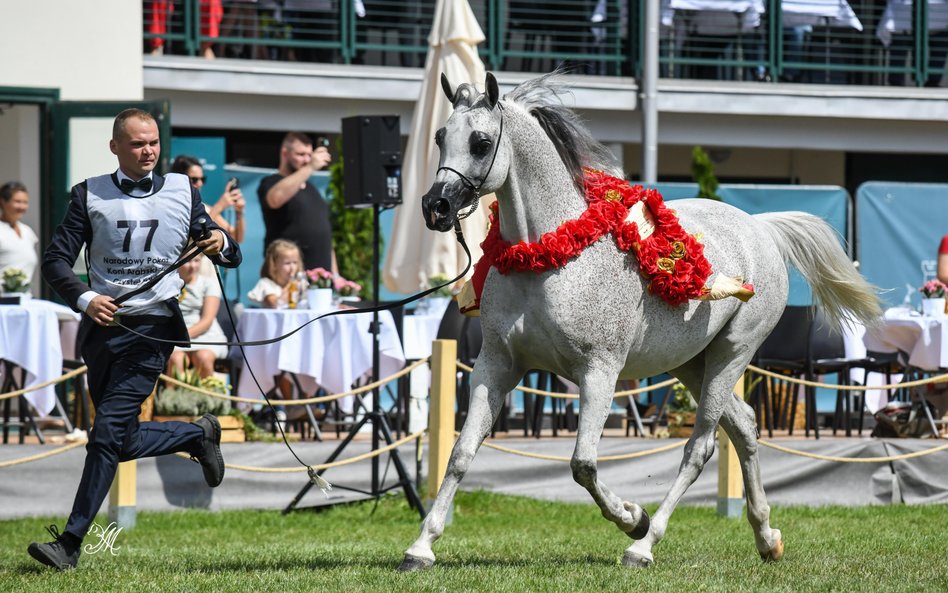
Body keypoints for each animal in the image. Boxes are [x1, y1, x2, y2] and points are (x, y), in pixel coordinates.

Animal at [398, 73, 880, 568]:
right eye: (440, 137)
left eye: (480, 142)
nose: (435, 206)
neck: (550, 257)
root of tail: (761, 228)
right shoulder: (496, 365)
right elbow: (460, 453)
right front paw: (421, 546)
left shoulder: (599, 371)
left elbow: (583, 464)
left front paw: (633, 517)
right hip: (691, 363)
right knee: (744, 426)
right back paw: (767, 537)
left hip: (732, 354)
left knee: (701, 446)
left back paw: (645, 544)